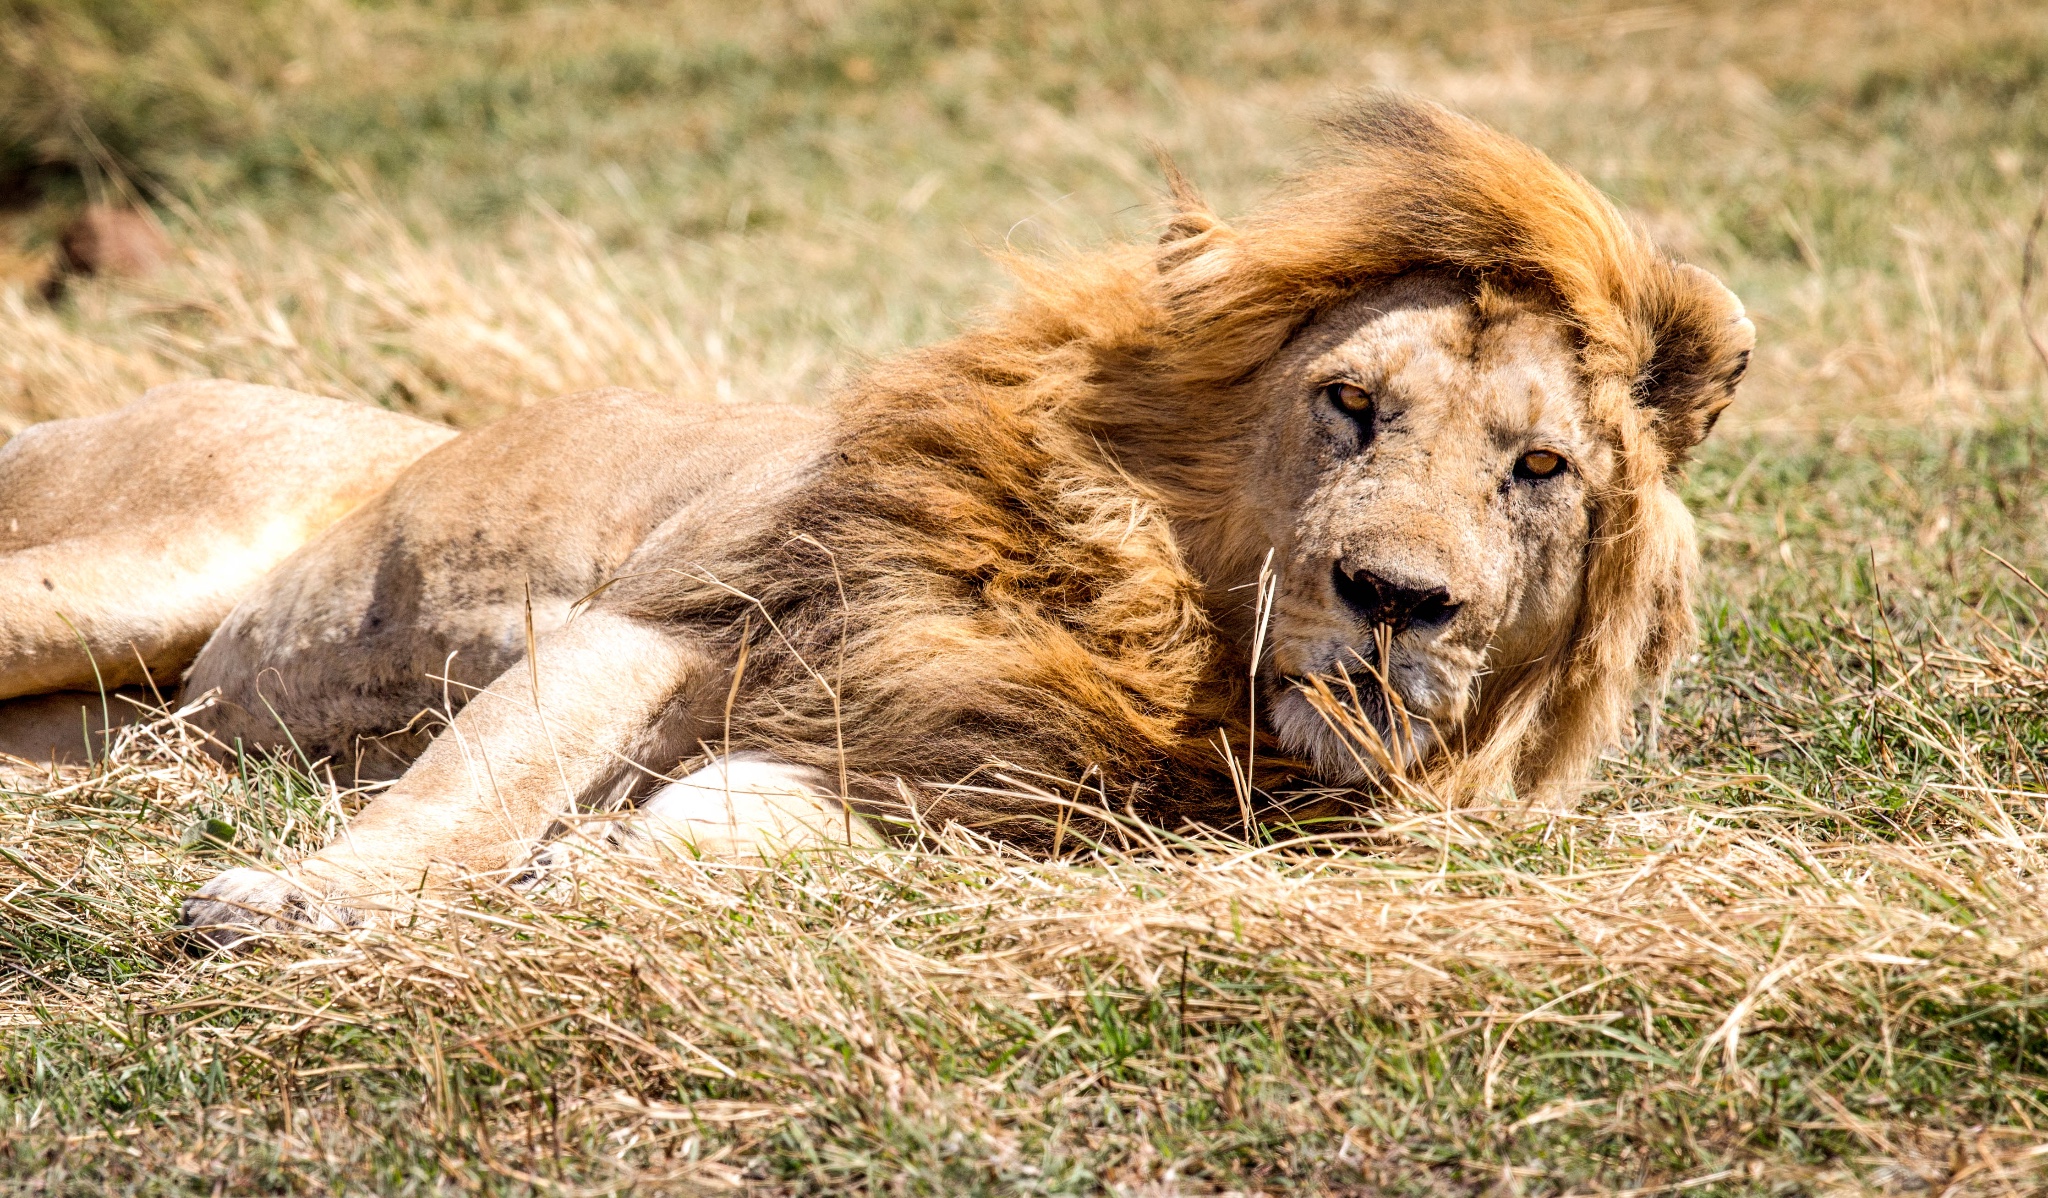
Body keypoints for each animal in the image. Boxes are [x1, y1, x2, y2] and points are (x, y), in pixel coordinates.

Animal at [4, 98, 1761, 942]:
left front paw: (610, 867)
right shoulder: (655, 617)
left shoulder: (1001, 778)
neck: (1159, 620)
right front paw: (304, 902)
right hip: (128, 561)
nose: (1397, 597)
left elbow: (762, 822)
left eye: (1539, 470)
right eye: (1350, 403)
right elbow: (473, 784)